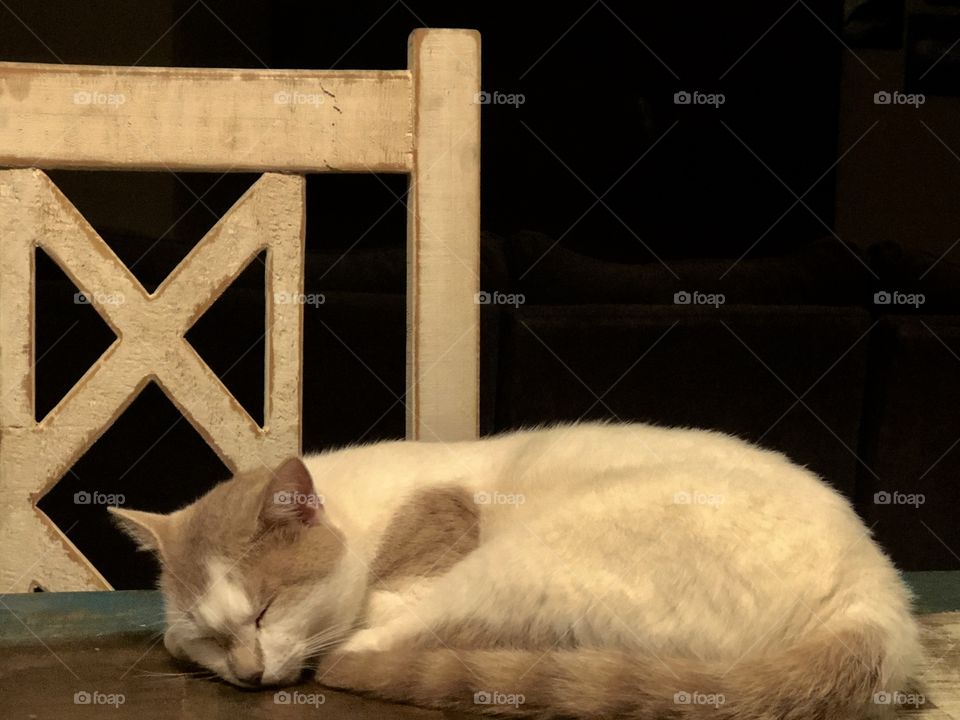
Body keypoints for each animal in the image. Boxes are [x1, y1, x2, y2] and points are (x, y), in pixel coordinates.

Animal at [112, 422, 924, 720]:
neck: (363, 516)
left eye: (264, 610)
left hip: (529, 559)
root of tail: (875, 599)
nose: (248, 674)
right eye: (211, 637)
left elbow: (368, 615)